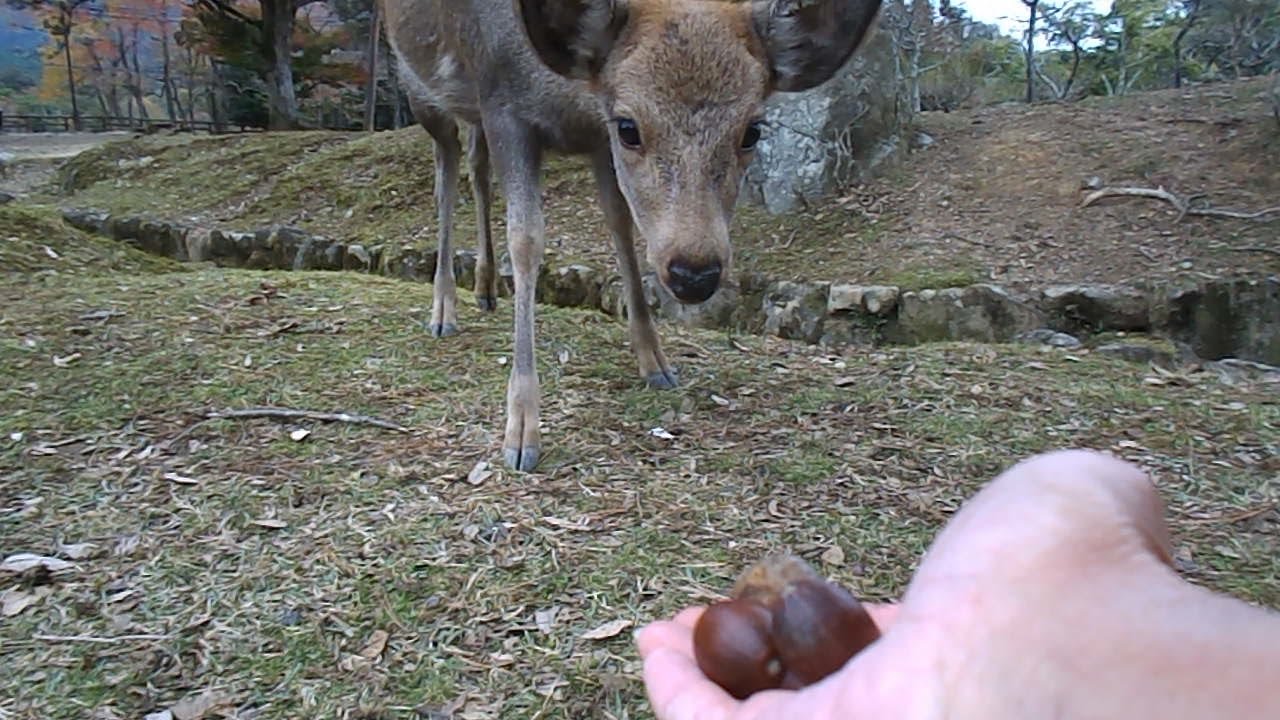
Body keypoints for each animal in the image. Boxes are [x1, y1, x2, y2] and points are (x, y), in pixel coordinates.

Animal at [379, 0, 884, 471]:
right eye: (630, 127)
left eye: (752, 131)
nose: (694, 272)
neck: (569, 97)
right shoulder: (503, 103)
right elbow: (525, 240)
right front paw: (522, 431)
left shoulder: (591, 138)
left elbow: (620, 225)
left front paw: (655, 362)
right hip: (419, 86)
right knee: (445, 174)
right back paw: (443, 309)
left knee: (475, 165)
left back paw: (484, 289)